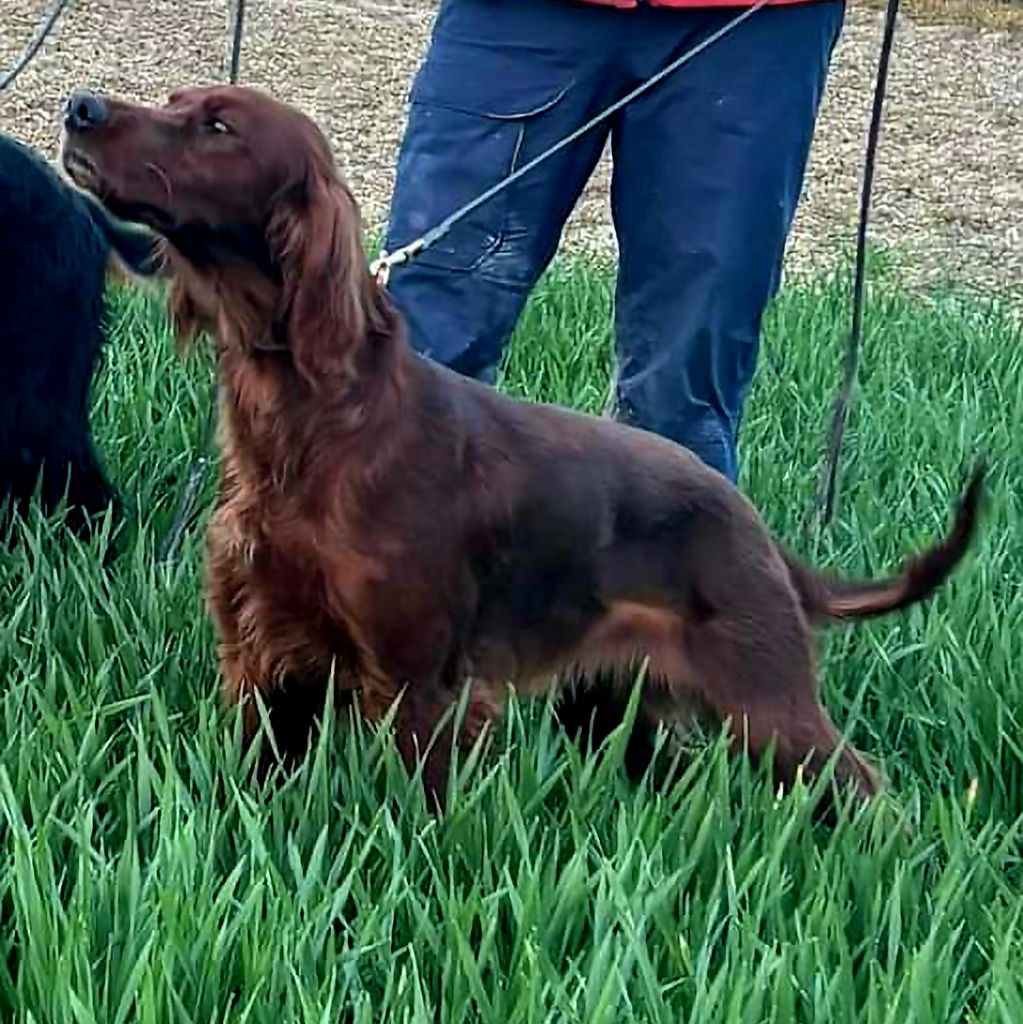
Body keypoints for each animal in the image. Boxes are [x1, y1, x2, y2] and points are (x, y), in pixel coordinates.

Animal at [61, 86, 983, 806]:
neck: (314, 422)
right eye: (176, 101)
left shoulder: (420, 687)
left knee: (862, 786)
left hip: (764, 697)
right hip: (614, 702)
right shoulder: (261, 657)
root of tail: (754, 526)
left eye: (218, 126)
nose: (80, 108)